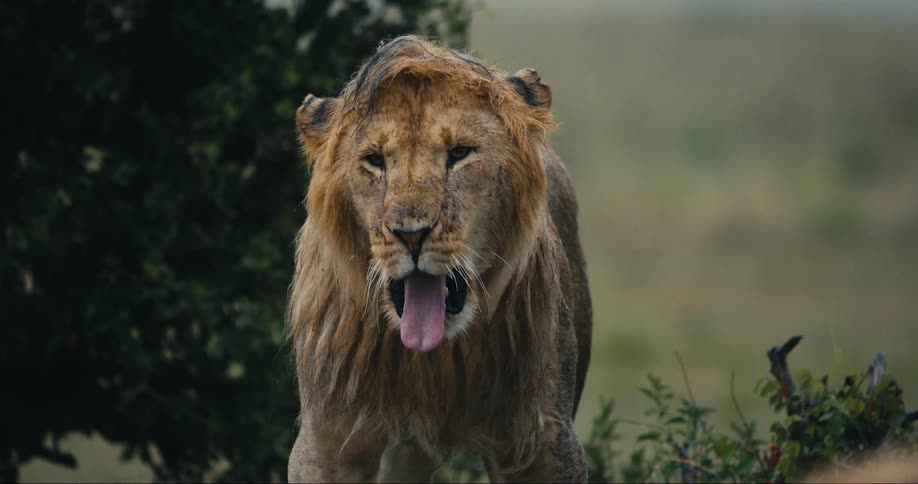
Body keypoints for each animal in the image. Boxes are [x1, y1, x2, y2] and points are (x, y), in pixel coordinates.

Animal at [286, 36, 592, 482]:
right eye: (375, 160)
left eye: (459, 153)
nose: (411, 234)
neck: (436, 362)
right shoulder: (326, 443)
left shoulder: (546, 443)